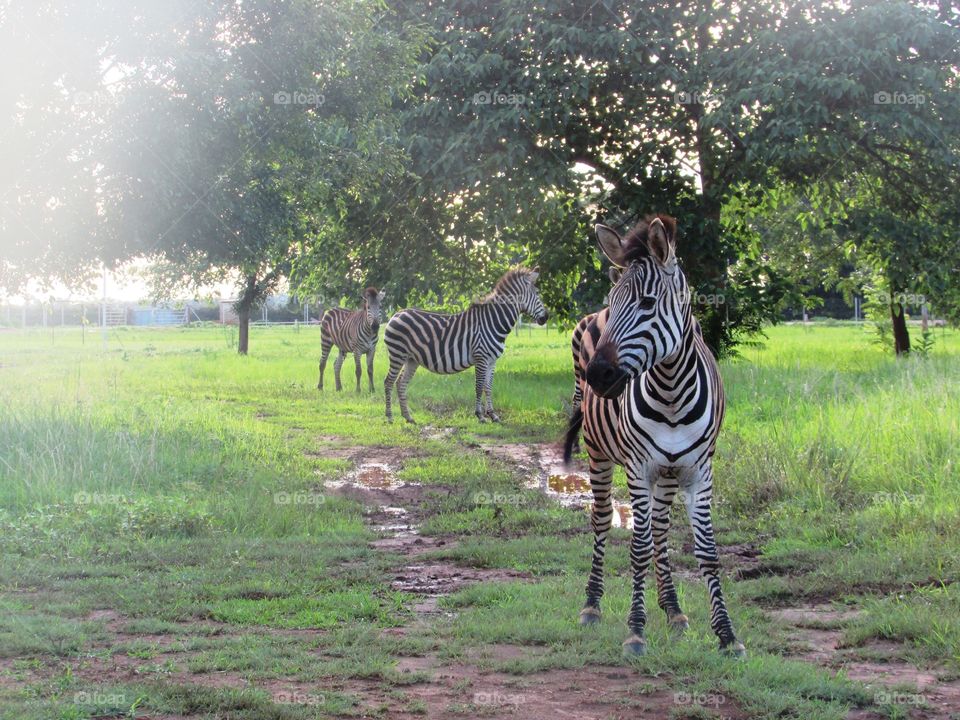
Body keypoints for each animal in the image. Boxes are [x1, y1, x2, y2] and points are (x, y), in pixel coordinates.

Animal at [383, 267, 548, 424]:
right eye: (537, 294)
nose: (546, 317)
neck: (493, 322)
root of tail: (397, 313)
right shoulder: (481, 357)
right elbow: (479, 387)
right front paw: (480, 416)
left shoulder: (492, 361)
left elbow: (488, 388)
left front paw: (493, 415)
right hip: (397, 354)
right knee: (389, 382)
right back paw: (390, 417)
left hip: (411, 359)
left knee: (401, 383)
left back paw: (408, 417)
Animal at [563, 215, 745, 658]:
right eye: (616, 301)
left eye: (647, 303)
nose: (598, 376)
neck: (672, 391)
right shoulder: (639, 469)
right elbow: (639, 548)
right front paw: (635, 630)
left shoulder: (699, 472)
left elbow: (707, 552)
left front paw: (727, 635)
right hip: (599, 453)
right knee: (601, 520)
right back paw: (592, 606)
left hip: (668, 472)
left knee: (661, 529)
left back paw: (674, 610)